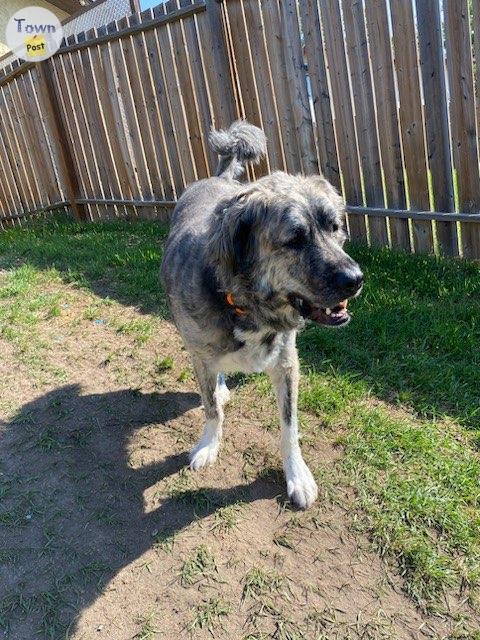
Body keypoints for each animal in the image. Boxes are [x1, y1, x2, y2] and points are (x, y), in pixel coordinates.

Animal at [159, 121, 362, 510]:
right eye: (294, 239)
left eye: (334, 227)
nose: (356, 279)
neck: (247, 306)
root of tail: (219, 178)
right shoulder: (200, 355)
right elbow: (211, 408)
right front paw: (209, 445)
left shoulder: (287, 363)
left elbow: (289, 427)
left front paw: (297, 475)